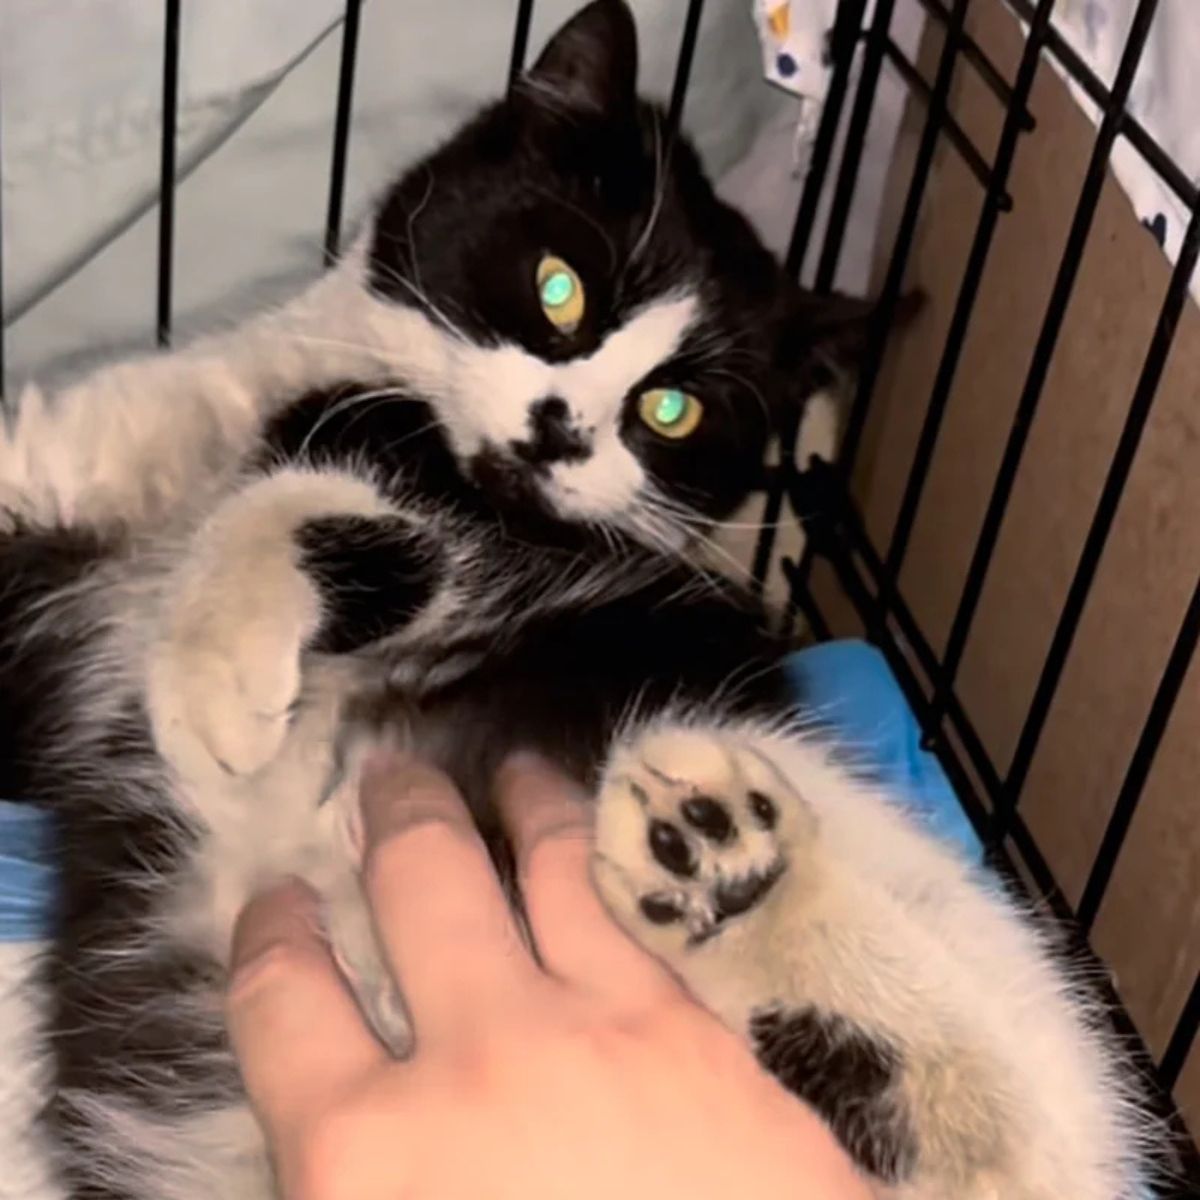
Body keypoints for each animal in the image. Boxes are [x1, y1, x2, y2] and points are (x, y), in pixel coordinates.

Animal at [0, 2, 1142, 1200]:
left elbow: (320, 508)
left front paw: (211, 676)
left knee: (1022, 1134)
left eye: (674, 410)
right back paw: (716, 876)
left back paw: (735, 874)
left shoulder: (513, 535)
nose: (562, 431)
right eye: (559, 287)